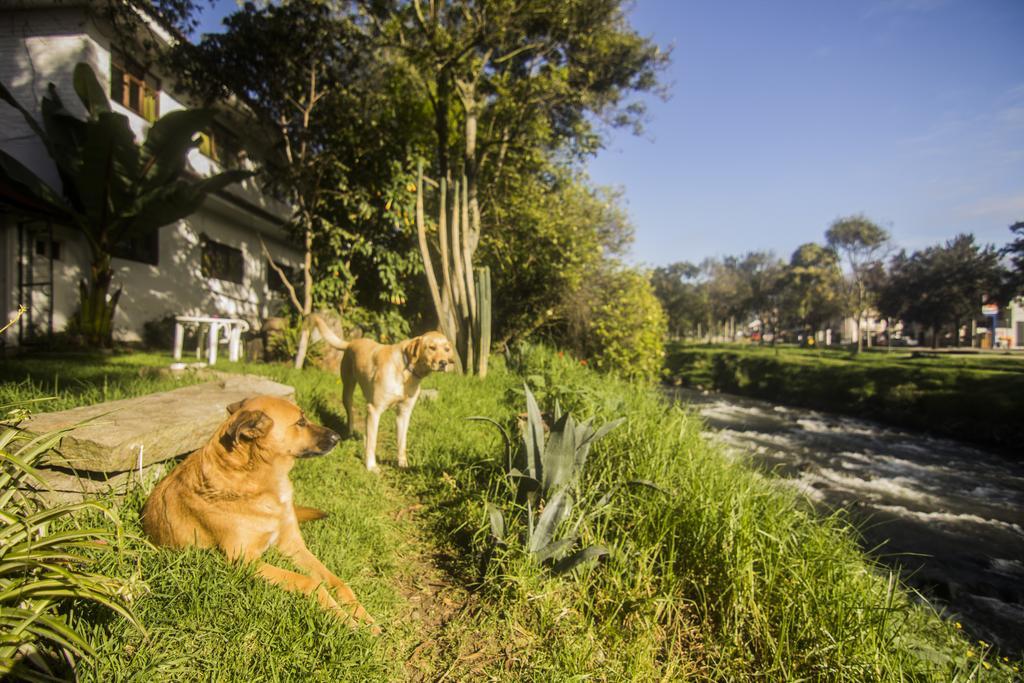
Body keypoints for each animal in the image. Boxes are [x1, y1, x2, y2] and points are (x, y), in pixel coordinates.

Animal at [144, 397, 380, 634]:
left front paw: (365, 617)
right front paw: (345, 619)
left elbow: (338, 581)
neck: (258, 480)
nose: (338, 437)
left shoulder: (293, 545)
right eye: (300, 422)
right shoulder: (243, 560)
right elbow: (310, 582)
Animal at [307, 315, 452, 471]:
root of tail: (351, 342)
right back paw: (350, 433)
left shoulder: (403, 414)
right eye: (431, 348)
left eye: (446, 349)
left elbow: (402, 443)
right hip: (348, 391)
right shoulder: (375, 409)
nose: (444, 363)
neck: (406, 371)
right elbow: (373, 442)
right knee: (351, 414)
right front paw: (371, 466)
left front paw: (403, 465)